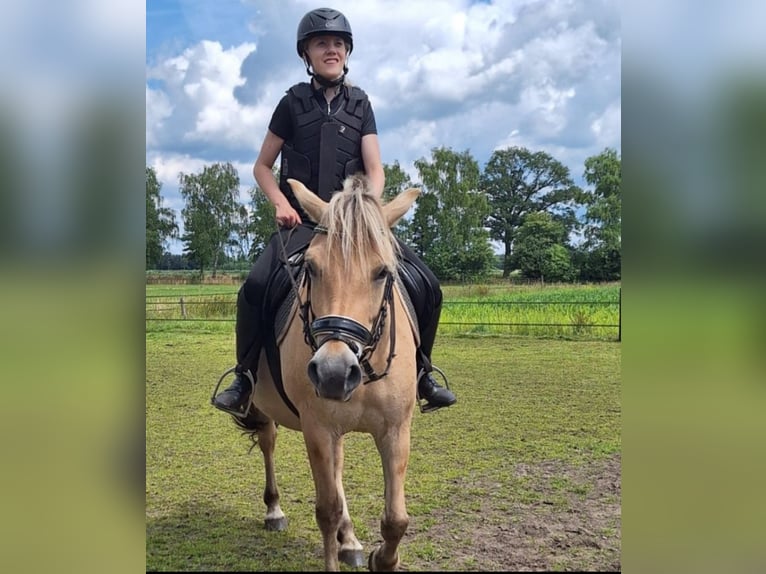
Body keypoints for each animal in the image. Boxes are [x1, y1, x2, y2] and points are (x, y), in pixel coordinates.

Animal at [233, 174, 421, 571]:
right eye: (312, 268)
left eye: (383, 271)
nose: (334, 372)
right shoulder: (318, 428)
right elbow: (327, 510)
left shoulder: (396, 430)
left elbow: (396, 519)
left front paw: (381, 558)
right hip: (266, 408)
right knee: (269, 442)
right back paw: (275, 511)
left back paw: (350, 541)